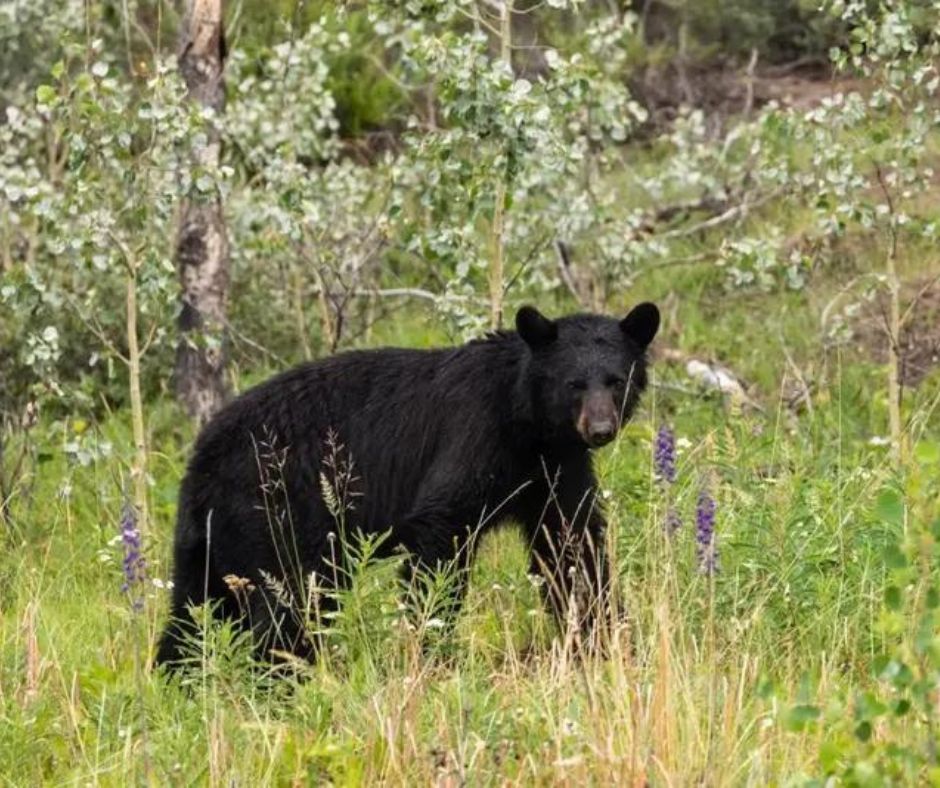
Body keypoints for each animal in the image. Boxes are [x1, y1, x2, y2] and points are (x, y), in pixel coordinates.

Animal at [158, 302, 656, 664]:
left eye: (616, 380)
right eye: (574, 384)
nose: (600, 429)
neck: (528, 426)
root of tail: (201, 457)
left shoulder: (555, 470)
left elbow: (572, 546)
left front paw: (607, 636)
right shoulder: (474, 435)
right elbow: (440, 530)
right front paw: (430, 642)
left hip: (211, 538)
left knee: (194, 609)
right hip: (273, 513)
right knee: (289, 600)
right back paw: (280, 671)